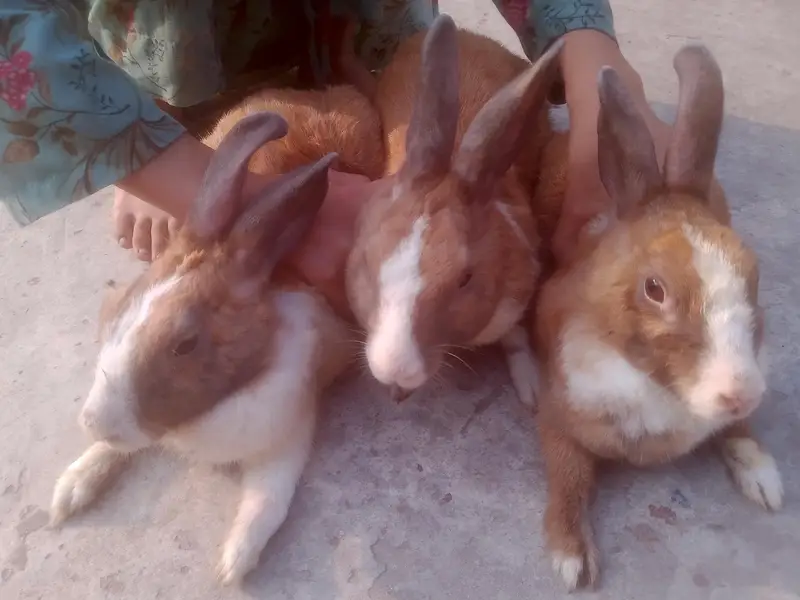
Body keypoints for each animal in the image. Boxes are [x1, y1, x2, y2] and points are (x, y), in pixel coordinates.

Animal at [49, 111, 360, 586]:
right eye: (118, 309)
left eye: (185, 344)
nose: (93, 423)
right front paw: (71, 489)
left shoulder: (290, 431)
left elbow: (267, 499)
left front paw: (232, 564)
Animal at [530, 44, 784, 590]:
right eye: (654, 289)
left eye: (752, 271)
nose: (741, 392)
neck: (657, 388)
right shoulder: (561, 420)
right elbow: (569, 479)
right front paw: (572, 560)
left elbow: (738, 432)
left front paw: (765, 483)